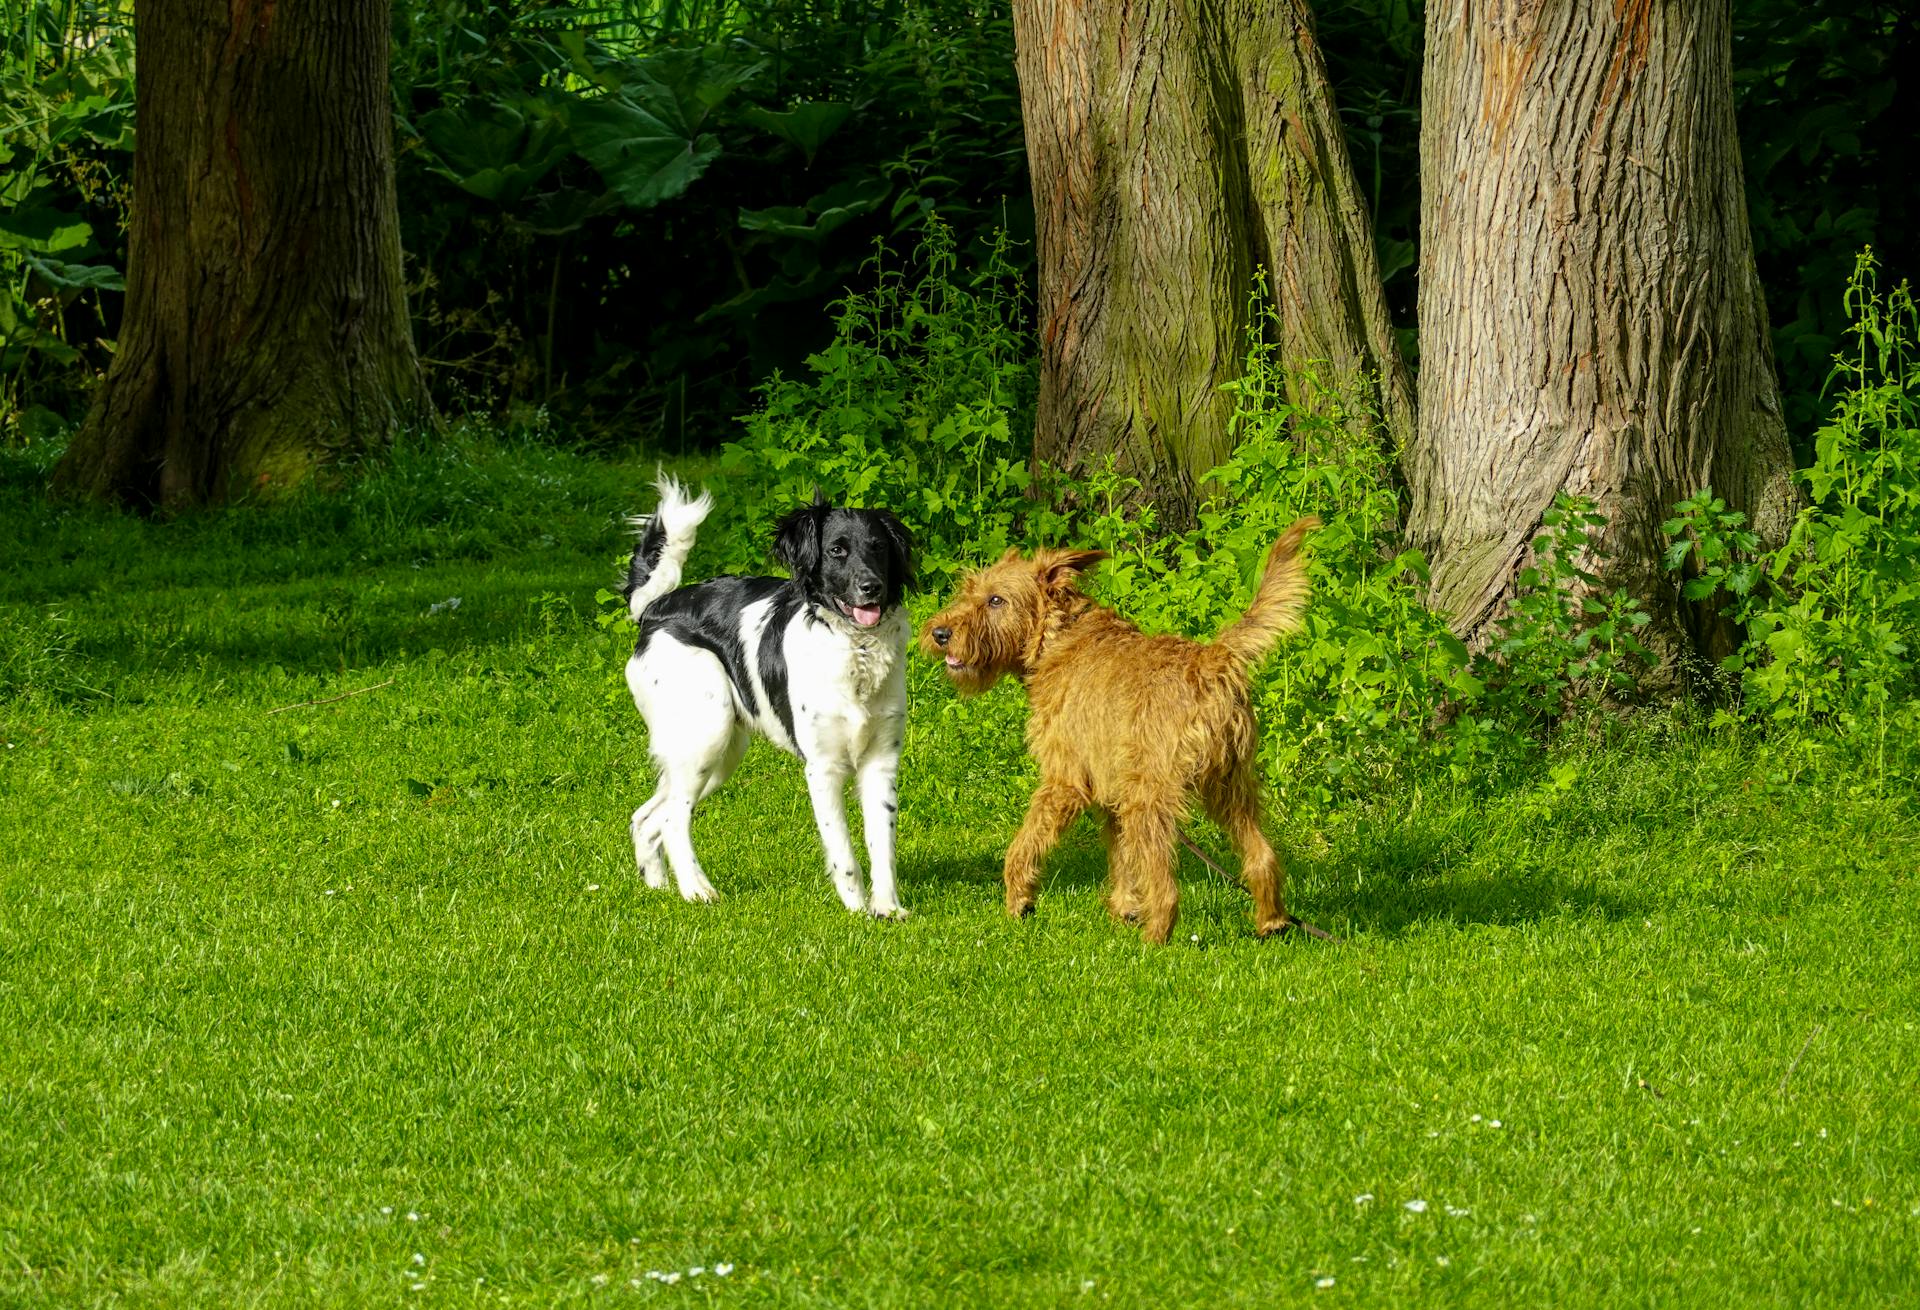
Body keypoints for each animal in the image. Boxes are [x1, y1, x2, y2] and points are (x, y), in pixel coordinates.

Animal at [618, 474, 910, 914]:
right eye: (836, 550)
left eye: (878, 547)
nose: (871, 587)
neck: (854, 649)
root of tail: (654, 608)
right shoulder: (822, 766)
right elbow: (844, 852)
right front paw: (857, 911)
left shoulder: (881, 762)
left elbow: (882, 845)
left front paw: (887, 909)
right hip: (708, 731)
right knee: (671, 818)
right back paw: (697, 890)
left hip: (717, 751)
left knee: (647, 816)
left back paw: (660, 888)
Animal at [917, 514, 1313, 945]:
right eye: (969, 590)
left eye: (996, 600)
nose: (940, 633)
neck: (1058, 639)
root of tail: (1213, 660)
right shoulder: (1111, 795)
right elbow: (1122, 861)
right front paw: (1123, 909)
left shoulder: (1064, 781)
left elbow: (1024, 844)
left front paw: (1019, 900)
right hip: (1232, 789)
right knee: (1262, 856)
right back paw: (1271, 922)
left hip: (1150, 797)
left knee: (1166, 885)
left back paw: (1154, 940)